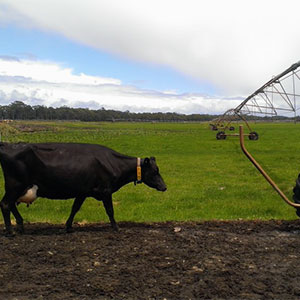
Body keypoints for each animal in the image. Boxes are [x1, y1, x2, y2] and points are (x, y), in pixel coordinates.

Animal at [0, 143, 166, 237]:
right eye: (155, 171)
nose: (164, 187)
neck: (114, 163)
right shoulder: (106, 191)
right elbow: (110, 211)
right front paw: (116, 227)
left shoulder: (82, 192)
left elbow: (75, 208)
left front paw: (68, 227)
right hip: (15, 186)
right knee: (5, 204)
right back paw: (10, 231)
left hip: (17, 188)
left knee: (11, 204)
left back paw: (21, 226)